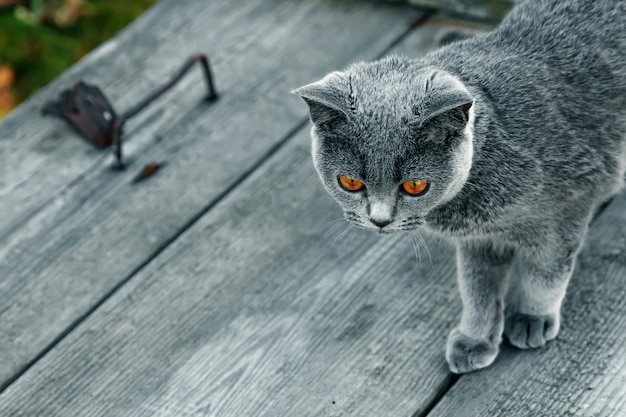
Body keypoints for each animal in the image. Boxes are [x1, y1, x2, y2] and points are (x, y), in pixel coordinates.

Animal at [294, 0, 624, 372]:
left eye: (415, 186)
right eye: (350, 182)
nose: (379, 220)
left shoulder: (569, 205)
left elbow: (546, 272)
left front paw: (532, 317)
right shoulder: (480, 239)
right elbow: (477, 288)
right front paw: (475, 339)